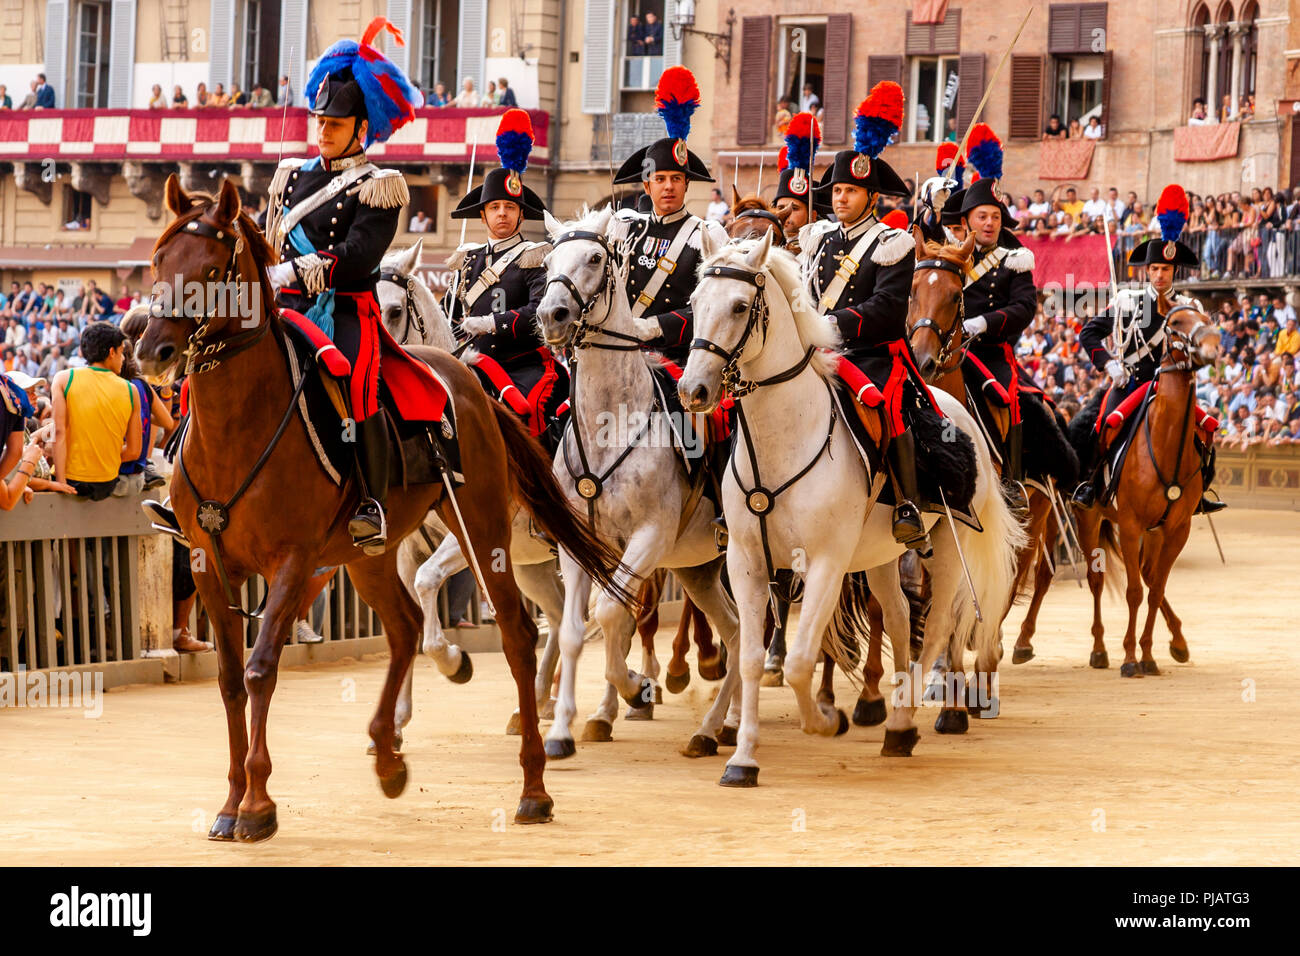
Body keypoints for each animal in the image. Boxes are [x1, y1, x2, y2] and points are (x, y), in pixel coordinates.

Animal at [137, 175, 629, 842]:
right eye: (159, 261)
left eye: (211, 269)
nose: (151, 350)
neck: (237, 430)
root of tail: (468, 385)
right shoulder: (210, 567)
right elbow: (230, 680)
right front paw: (233, 800)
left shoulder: (293, 562)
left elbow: (261, 669)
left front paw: (259, 806)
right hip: (371, 552)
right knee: (407, 626)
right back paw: (392, 754)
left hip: (484, 531)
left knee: (523, 635)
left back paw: (536, 779)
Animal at [533, 205, 743, 759]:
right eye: (547, 263)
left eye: (594, 258)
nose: (551, 315)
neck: (611, 423)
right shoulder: (579, 543)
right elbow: (574, 629)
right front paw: (564, 730)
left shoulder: (650, 537)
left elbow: (610, 614)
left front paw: (635, 687)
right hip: (699, 569)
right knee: (737, 632)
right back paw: (716, 726)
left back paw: (722, 724)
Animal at [681, 231, 1024, 785]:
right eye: (694, 302)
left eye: (739, 306)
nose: (693, 390)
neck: (784, 437)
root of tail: (956, 409)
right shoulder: (746, 560)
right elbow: (751, 658)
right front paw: (743, 758)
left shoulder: (825, 561)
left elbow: (799, 660)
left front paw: (824, 721)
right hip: (880, 556)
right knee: (902, 617)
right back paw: (898, 724)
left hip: (948, 548)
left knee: (938, 628)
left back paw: (911, 719)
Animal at [1066, 304, 1216, 671]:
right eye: (1176, 323)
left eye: (1206, 317)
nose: (1213, 345)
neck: (1165, 442)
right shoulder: (1131, 526)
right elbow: (1134, 591)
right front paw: (1131, 657)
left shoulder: (1177, 529)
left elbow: (1156, 589)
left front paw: (1148, 654)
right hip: (1089, 518)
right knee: (1097, 579)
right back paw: (1099, 649)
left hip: (1154, 531)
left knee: (1149, 577)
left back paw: (1177, 642)